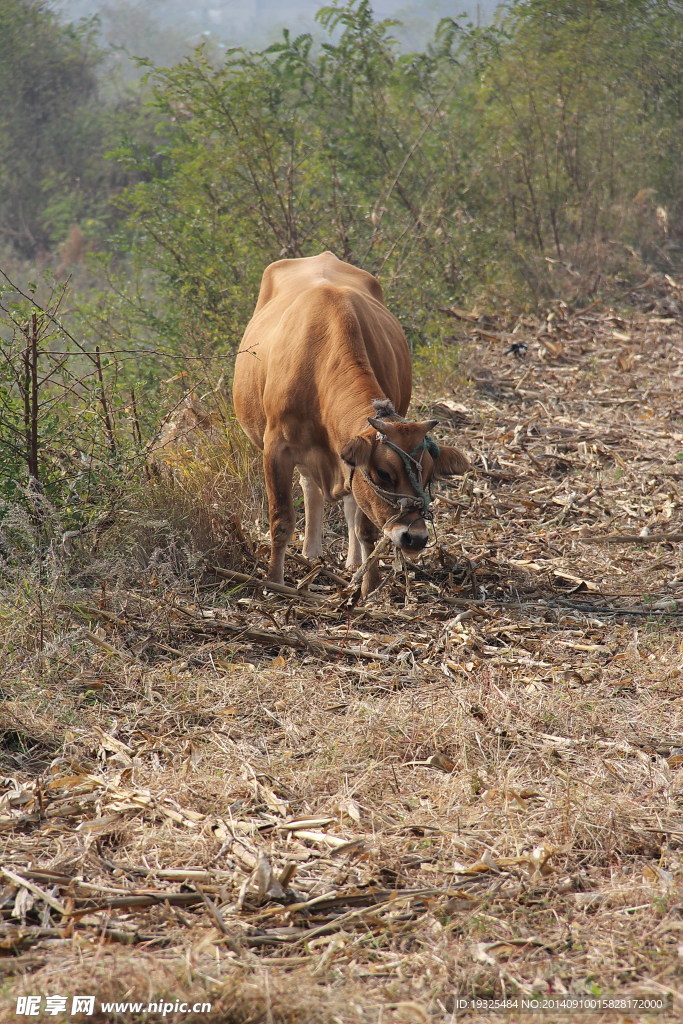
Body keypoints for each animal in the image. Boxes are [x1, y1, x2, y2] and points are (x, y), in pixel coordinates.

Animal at [232, 251, 466, 598]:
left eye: (429, 476)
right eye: (383, 473)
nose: (416, 538)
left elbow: (365, 525)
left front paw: (369, 586)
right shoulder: (276, 448)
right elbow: (281, 519)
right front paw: (275, 583)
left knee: (346, 506)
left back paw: (350, 561)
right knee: (311, 489)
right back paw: (310, 552)